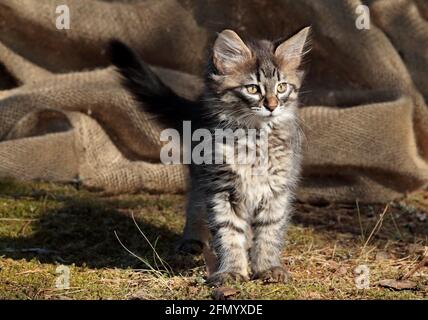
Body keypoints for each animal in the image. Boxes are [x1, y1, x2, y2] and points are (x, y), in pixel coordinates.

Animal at [110, 26, 310, 284]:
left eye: (282, 87)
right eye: (253, 89)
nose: (272, 106)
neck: (254, 137)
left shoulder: (277, 188)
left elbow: (269, 232)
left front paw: (268, 267)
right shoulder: (221, 187)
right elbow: (228, 233)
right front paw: (232, 270)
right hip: (200, 175)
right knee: (195, 205)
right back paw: (192, 241)